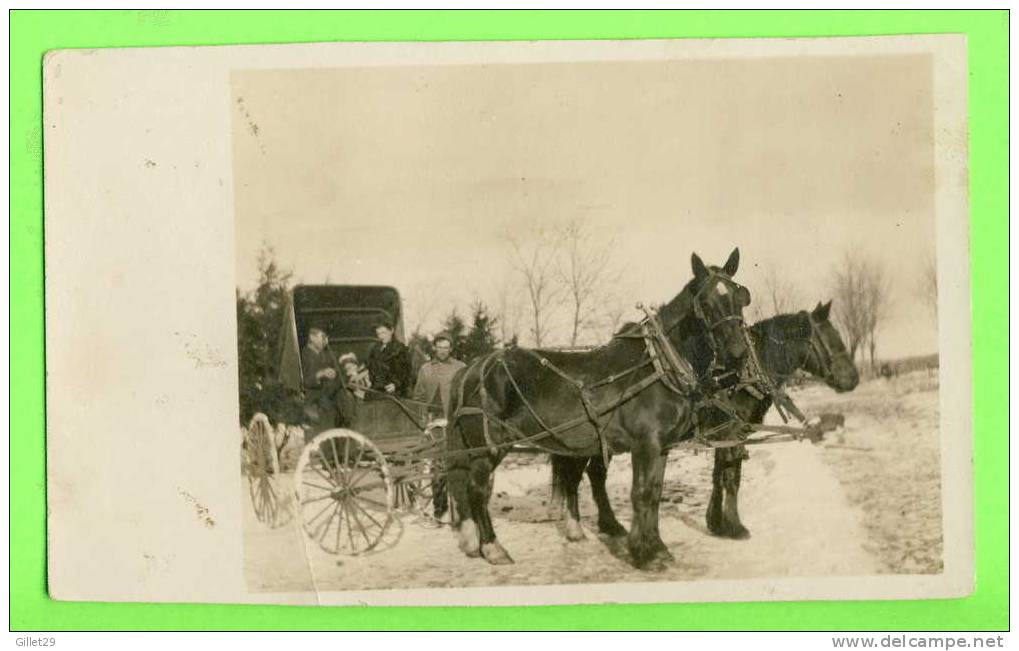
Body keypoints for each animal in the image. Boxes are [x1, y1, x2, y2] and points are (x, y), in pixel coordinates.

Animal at [450, 246, 754, 566]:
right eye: (705, 303)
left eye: (739, 297)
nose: (738, 353)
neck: (658, 365)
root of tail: (473, 367)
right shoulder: (645, 444)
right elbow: (642, 493)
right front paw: (643, 553)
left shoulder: (662, 446)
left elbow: (655, 492)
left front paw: (657, 547)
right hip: (488, 446)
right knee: (477, 489)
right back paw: (492, 547)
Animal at [550, 301, 860, 546]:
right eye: (833, 340)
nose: (854, 379)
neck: (741, 374)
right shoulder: (733, 431)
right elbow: (732, 478)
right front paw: (734, 526)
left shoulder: (727, 433)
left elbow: (719, 474)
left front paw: (716, 521)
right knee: (581, 475)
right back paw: (583, 527)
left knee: (591, 475)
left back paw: (605, 525)